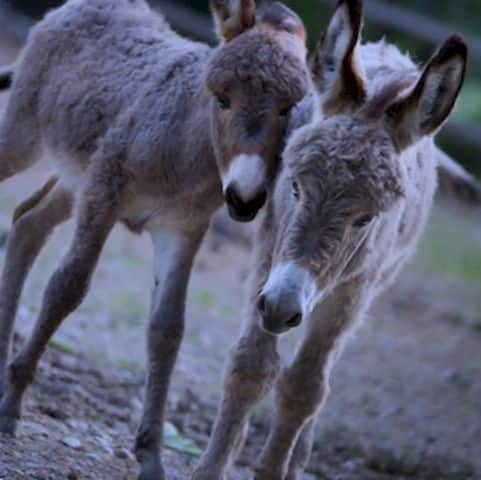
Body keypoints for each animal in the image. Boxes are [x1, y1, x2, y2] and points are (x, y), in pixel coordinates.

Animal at [193, 1, 466, 478]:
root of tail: (392, 53)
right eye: (295, 187)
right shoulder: (270, 251)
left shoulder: (353, 288)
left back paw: (297, 457)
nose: (281, 308)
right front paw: (213, 466)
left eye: (367, 219)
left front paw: (273, 469)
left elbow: (305, 386)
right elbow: (250, 365)